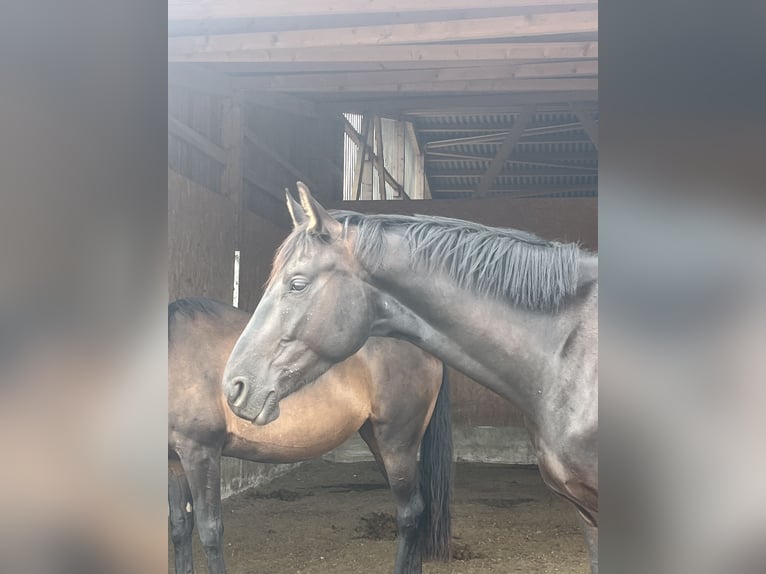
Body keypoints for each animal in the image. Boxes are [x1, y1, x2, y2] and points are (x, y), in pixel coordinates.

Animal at [168, 297, 452, 574]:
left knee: (410, 513)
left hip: (397, 444)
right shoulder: (175, 462)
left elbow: (210, 531)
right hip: (379, 442)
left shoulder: (201, 452)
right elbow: (180, 526)